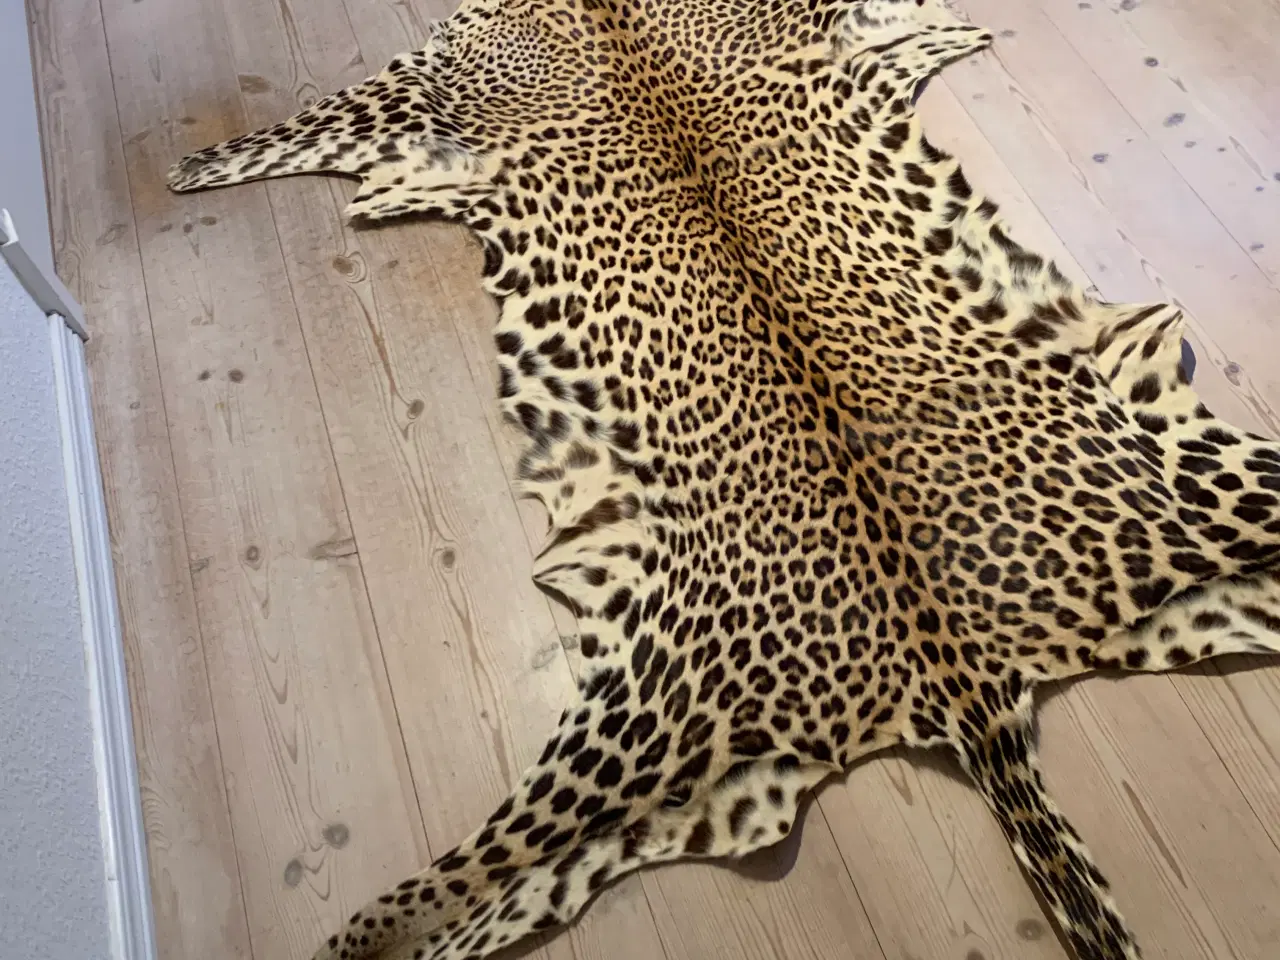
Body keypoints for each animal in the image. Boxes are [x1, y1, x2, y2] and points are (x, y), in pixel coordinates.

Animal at [165, 1, 1280, 958]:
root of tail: (966, 673)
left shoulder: (425, 78)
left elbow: (304, 122)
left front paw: (188, 164)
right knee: (484, 903)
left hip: (626, 729)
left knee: (426, 908)